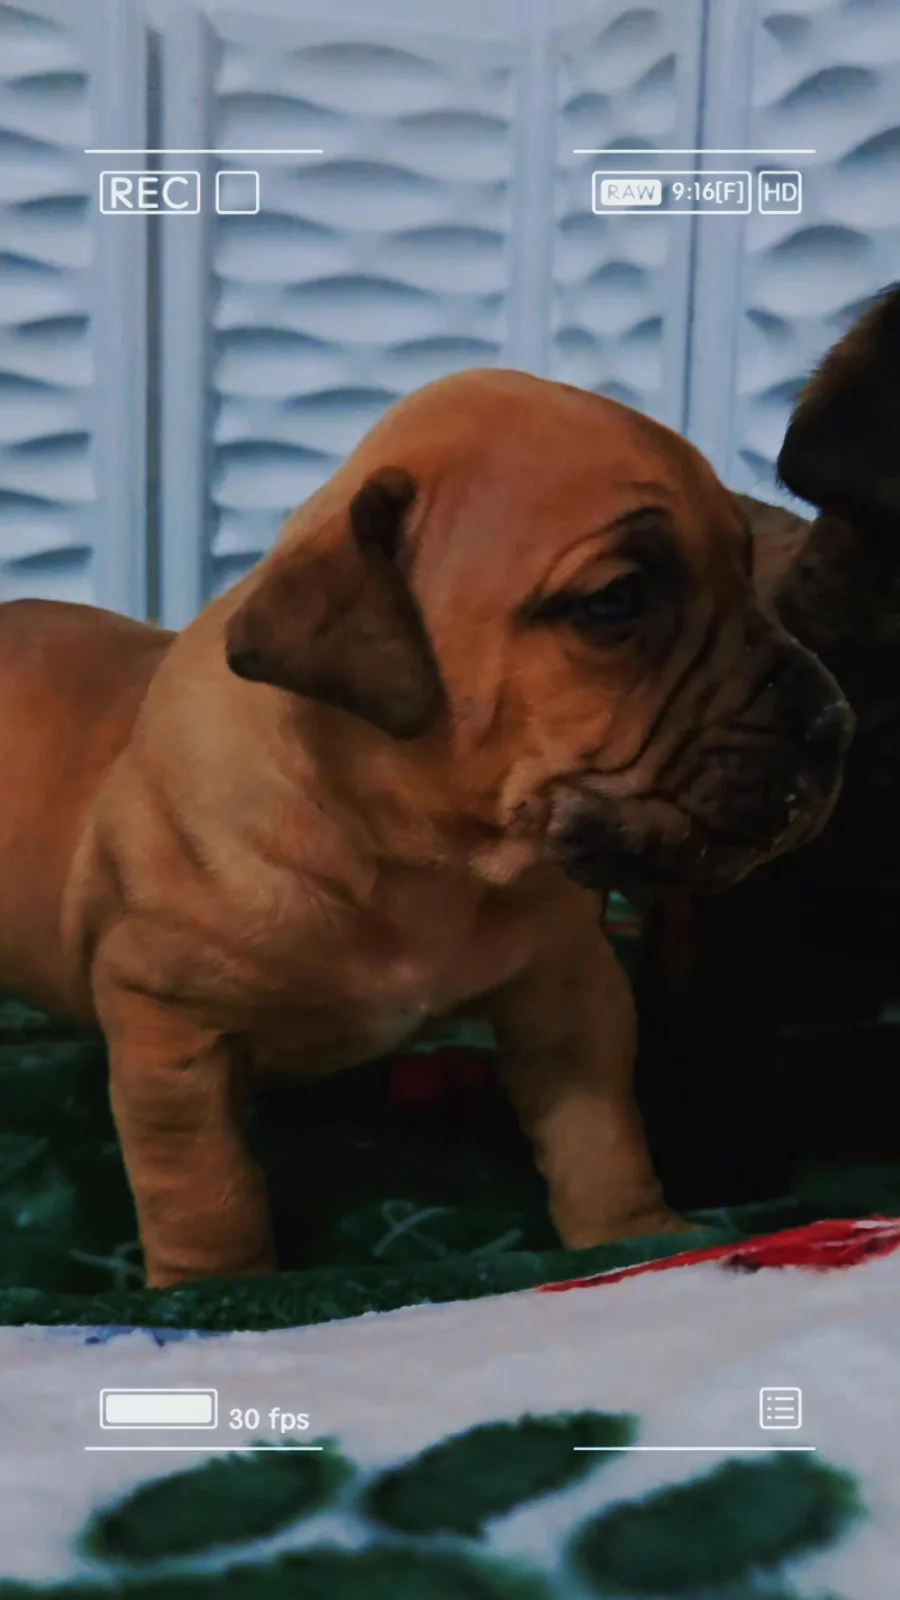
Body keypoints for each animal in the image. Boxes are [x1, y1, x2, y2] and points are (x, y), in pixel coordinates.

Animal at [0, 370, 852, 1286]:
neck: (425, 858)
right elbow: (202, 1185)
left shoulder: (571, 989)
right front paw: (207, 1288)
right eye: (615, 601)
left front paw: (637, 1234)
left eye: (749, 569)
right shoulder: (170, 1027)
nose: (835, 727)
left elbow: (600, 1135)